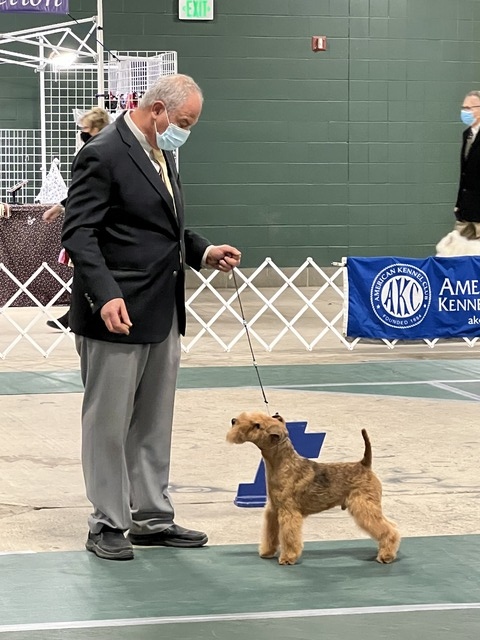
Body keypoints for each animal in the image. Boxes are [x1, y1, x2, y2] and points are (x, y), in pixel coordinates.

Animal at [227, 410, 400, 564]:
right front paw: (267, 552)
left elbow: (289, 537)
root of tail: (364, 464)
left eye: (257, 425)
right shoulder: (273, 510)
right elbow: (271, 534)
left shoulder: (289, 512)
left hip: (364, 506)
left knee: (389, 530)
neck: (283, 464)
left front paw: (288, 558)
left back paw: (386, 556)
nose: (233, 421)